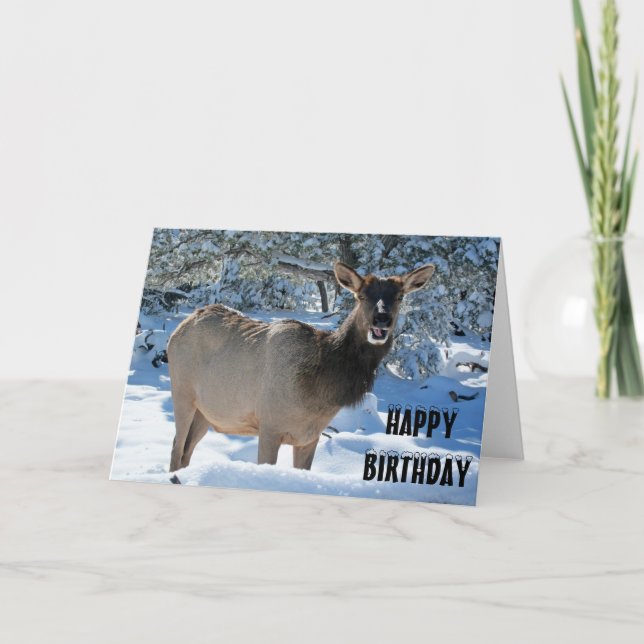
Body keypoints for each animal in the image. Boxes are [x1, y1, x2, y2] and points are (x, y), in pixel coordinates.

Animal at [166, 261, 435, 474]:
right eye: (361, 296)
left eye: (400, 297)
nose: (381, 319)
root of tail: (178, 329)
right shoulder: (269, 426)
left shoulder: (309, 437)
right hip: (182, 394)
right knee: (176, 448)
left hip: (207, 412)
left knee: (186, 451)